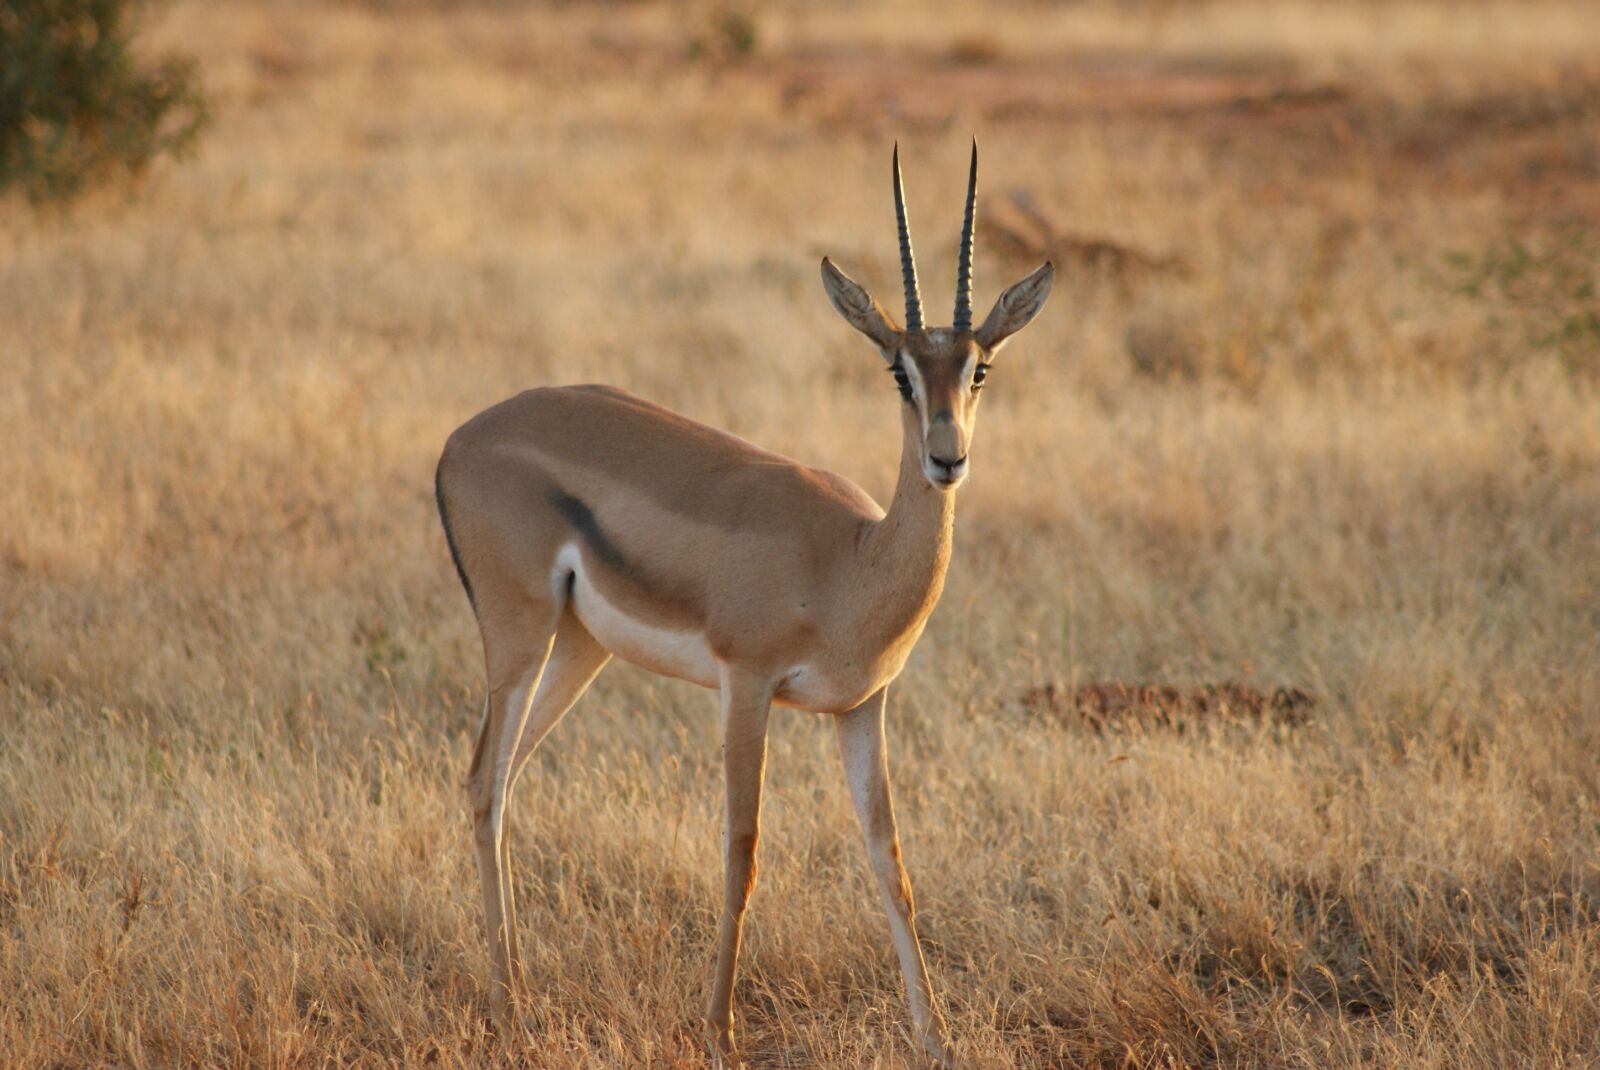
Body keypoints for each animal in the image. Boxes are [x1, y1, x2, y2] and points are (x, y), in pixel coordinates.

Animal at [434, 143, 1052, 1067]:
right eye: (898, 371)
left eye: (978, 368)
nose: (948, 458)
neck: (851, 561)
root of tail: (458, 440)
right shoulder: (747, 684)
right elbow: (742, 851)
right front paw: (719, 1032)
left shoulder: (861, 707)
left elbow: (890, 859)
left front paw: (935, 1038)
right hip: (520, 634)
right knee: (482, 778)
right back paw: (510, 1011)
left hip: (579, 647)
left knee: (503, 779)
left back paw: (518, 994)